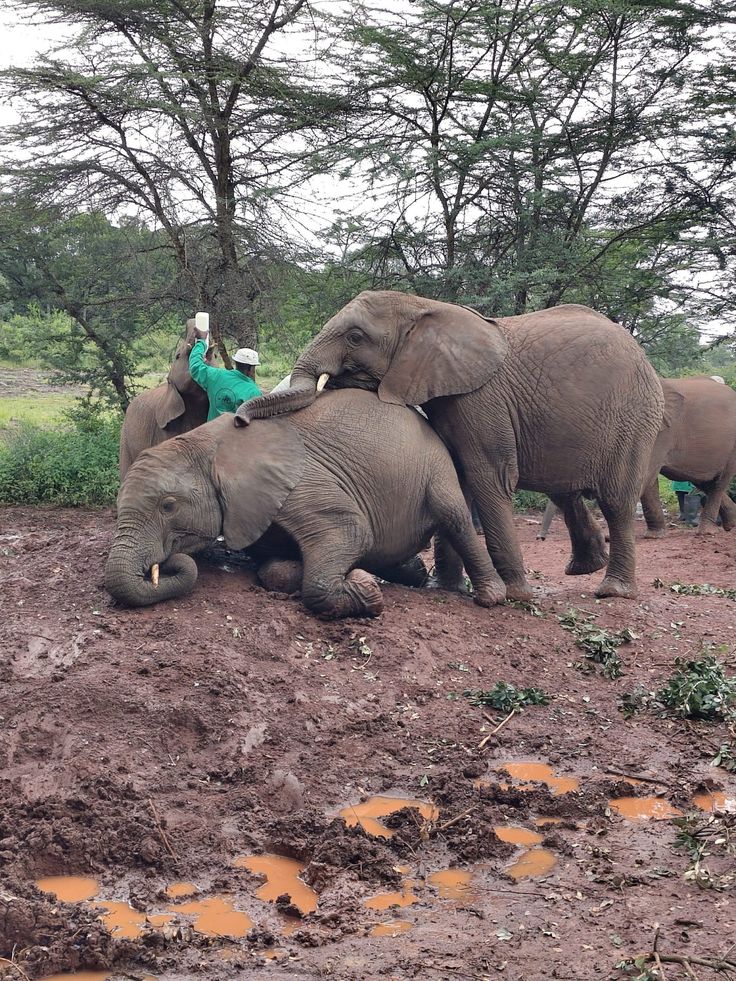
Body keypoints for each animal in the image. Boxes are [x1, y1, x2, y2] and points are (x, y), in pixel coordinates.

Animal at [105, 389, 506, 617]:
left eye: (168, 506)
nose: (165, 563)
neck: (207, 445)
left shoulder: (301, 483)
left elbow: (350, 530)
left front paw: (366, 590)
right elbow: (271, 569)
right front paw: (358, 577)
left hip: (437, 467)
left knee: (454, 518)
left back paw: (491, 596)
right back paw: (413, 573)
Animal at [235, 291, 665, 600]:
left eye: (355, 337)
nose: (239, 421)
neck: (424, 306)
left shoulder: (481, 398)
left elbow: (488, 477)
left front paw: (514, 596)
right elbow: (458, 477)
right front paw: (446, 589)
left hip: (635, 415)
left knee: (615, 499)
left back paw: (612, 591)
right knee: (566, 491)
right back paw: (584, 568)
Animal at [640, 376, 736, 536]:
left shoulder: (661, 431)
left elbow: (646, 474)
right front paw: (654, 536)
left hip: (731, 448)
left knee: (718, 483)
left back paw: (706, 532)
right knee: (705, 482)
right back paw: (731, 524)